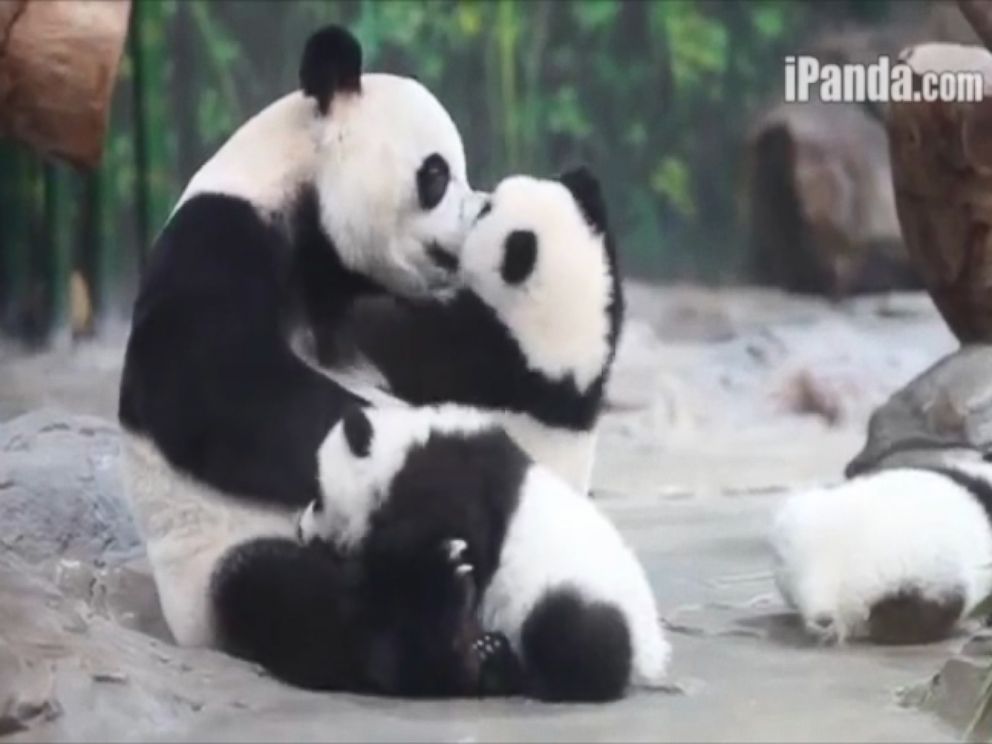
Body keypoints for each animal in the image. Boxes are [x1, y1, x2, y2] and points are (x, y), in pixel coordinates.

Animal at [117, 26, 488, 696]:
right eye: (437, 173)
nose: (482, 213)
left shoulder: (374, 303)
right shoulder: (221, 237)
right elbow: (215, 390)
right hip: (220, 562)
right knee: (290, 597)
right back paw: (440, 621)